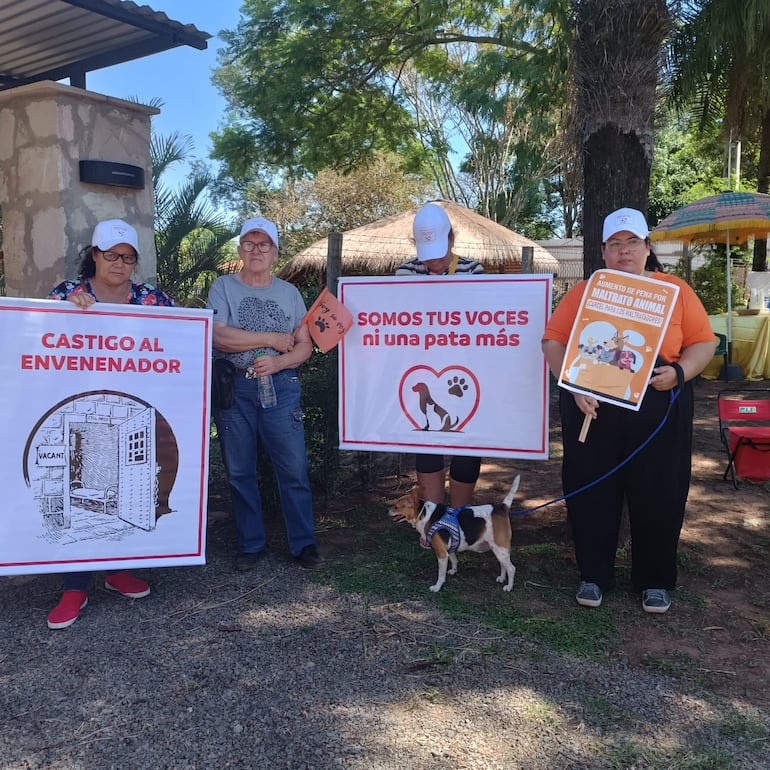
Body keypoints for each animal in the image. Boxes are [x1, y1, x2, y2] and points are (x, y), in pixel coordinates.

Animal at [388, 474, 520, 592]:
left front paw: (437, 587)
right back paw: (502, 578)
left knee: (511, 568)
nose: (387, 511)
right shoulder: (449, 548)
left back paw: (509, 587)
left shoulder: (441, 554)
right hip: (498, 550)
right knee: (503, 565)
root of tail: (502, 507)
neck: (424, 514)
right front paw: (453, 570)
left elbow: (441, 575)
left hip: (500, 548)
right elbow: (455, 560)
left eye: (396, 507)